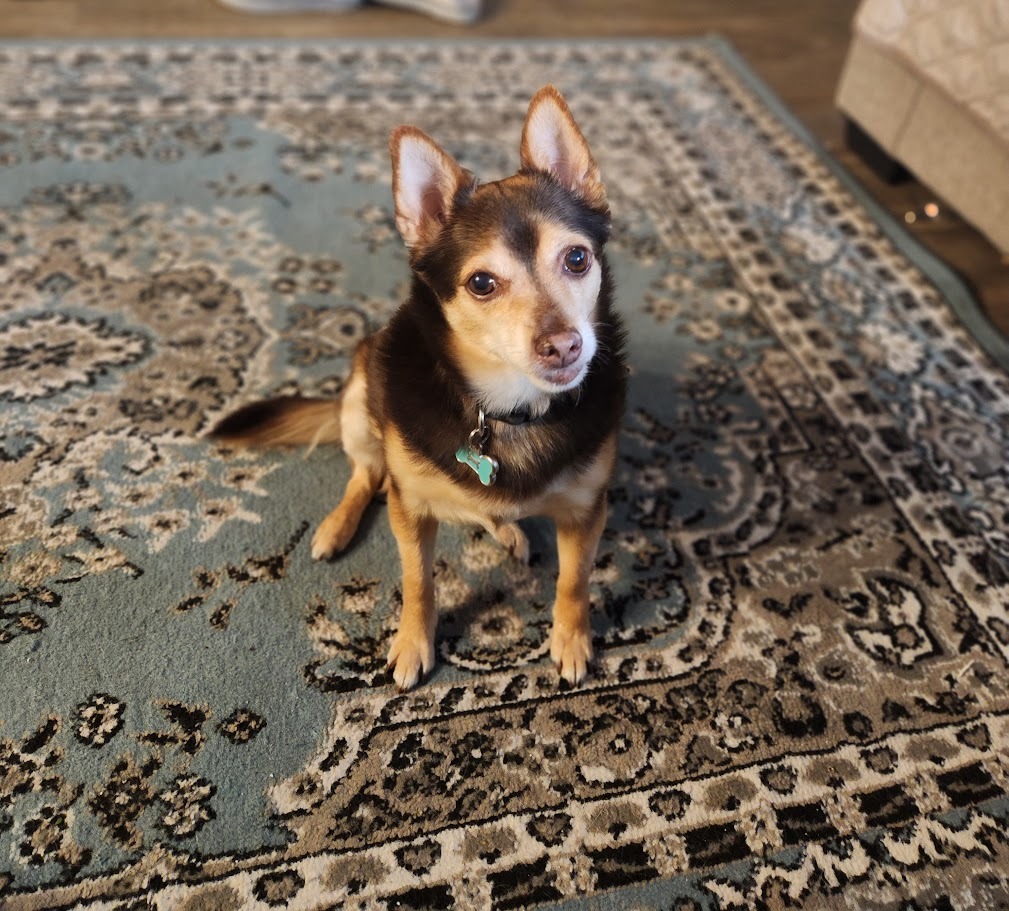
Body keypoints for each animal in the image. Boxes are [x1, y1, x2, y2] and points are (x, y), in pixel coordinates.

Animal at [212, 86, 626, 691]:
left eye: (577, 258)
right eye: (482, 283)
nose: (564, 346)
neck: (506, 411)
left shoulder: (586, 510)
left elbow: (574, 581)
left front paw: (570, 641)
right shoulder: (411, 511)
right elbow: (418, 581)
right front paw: (412, 643)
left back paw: (509, 532)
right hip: (360, 404)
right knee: (368, 475)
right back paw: (336, 528)